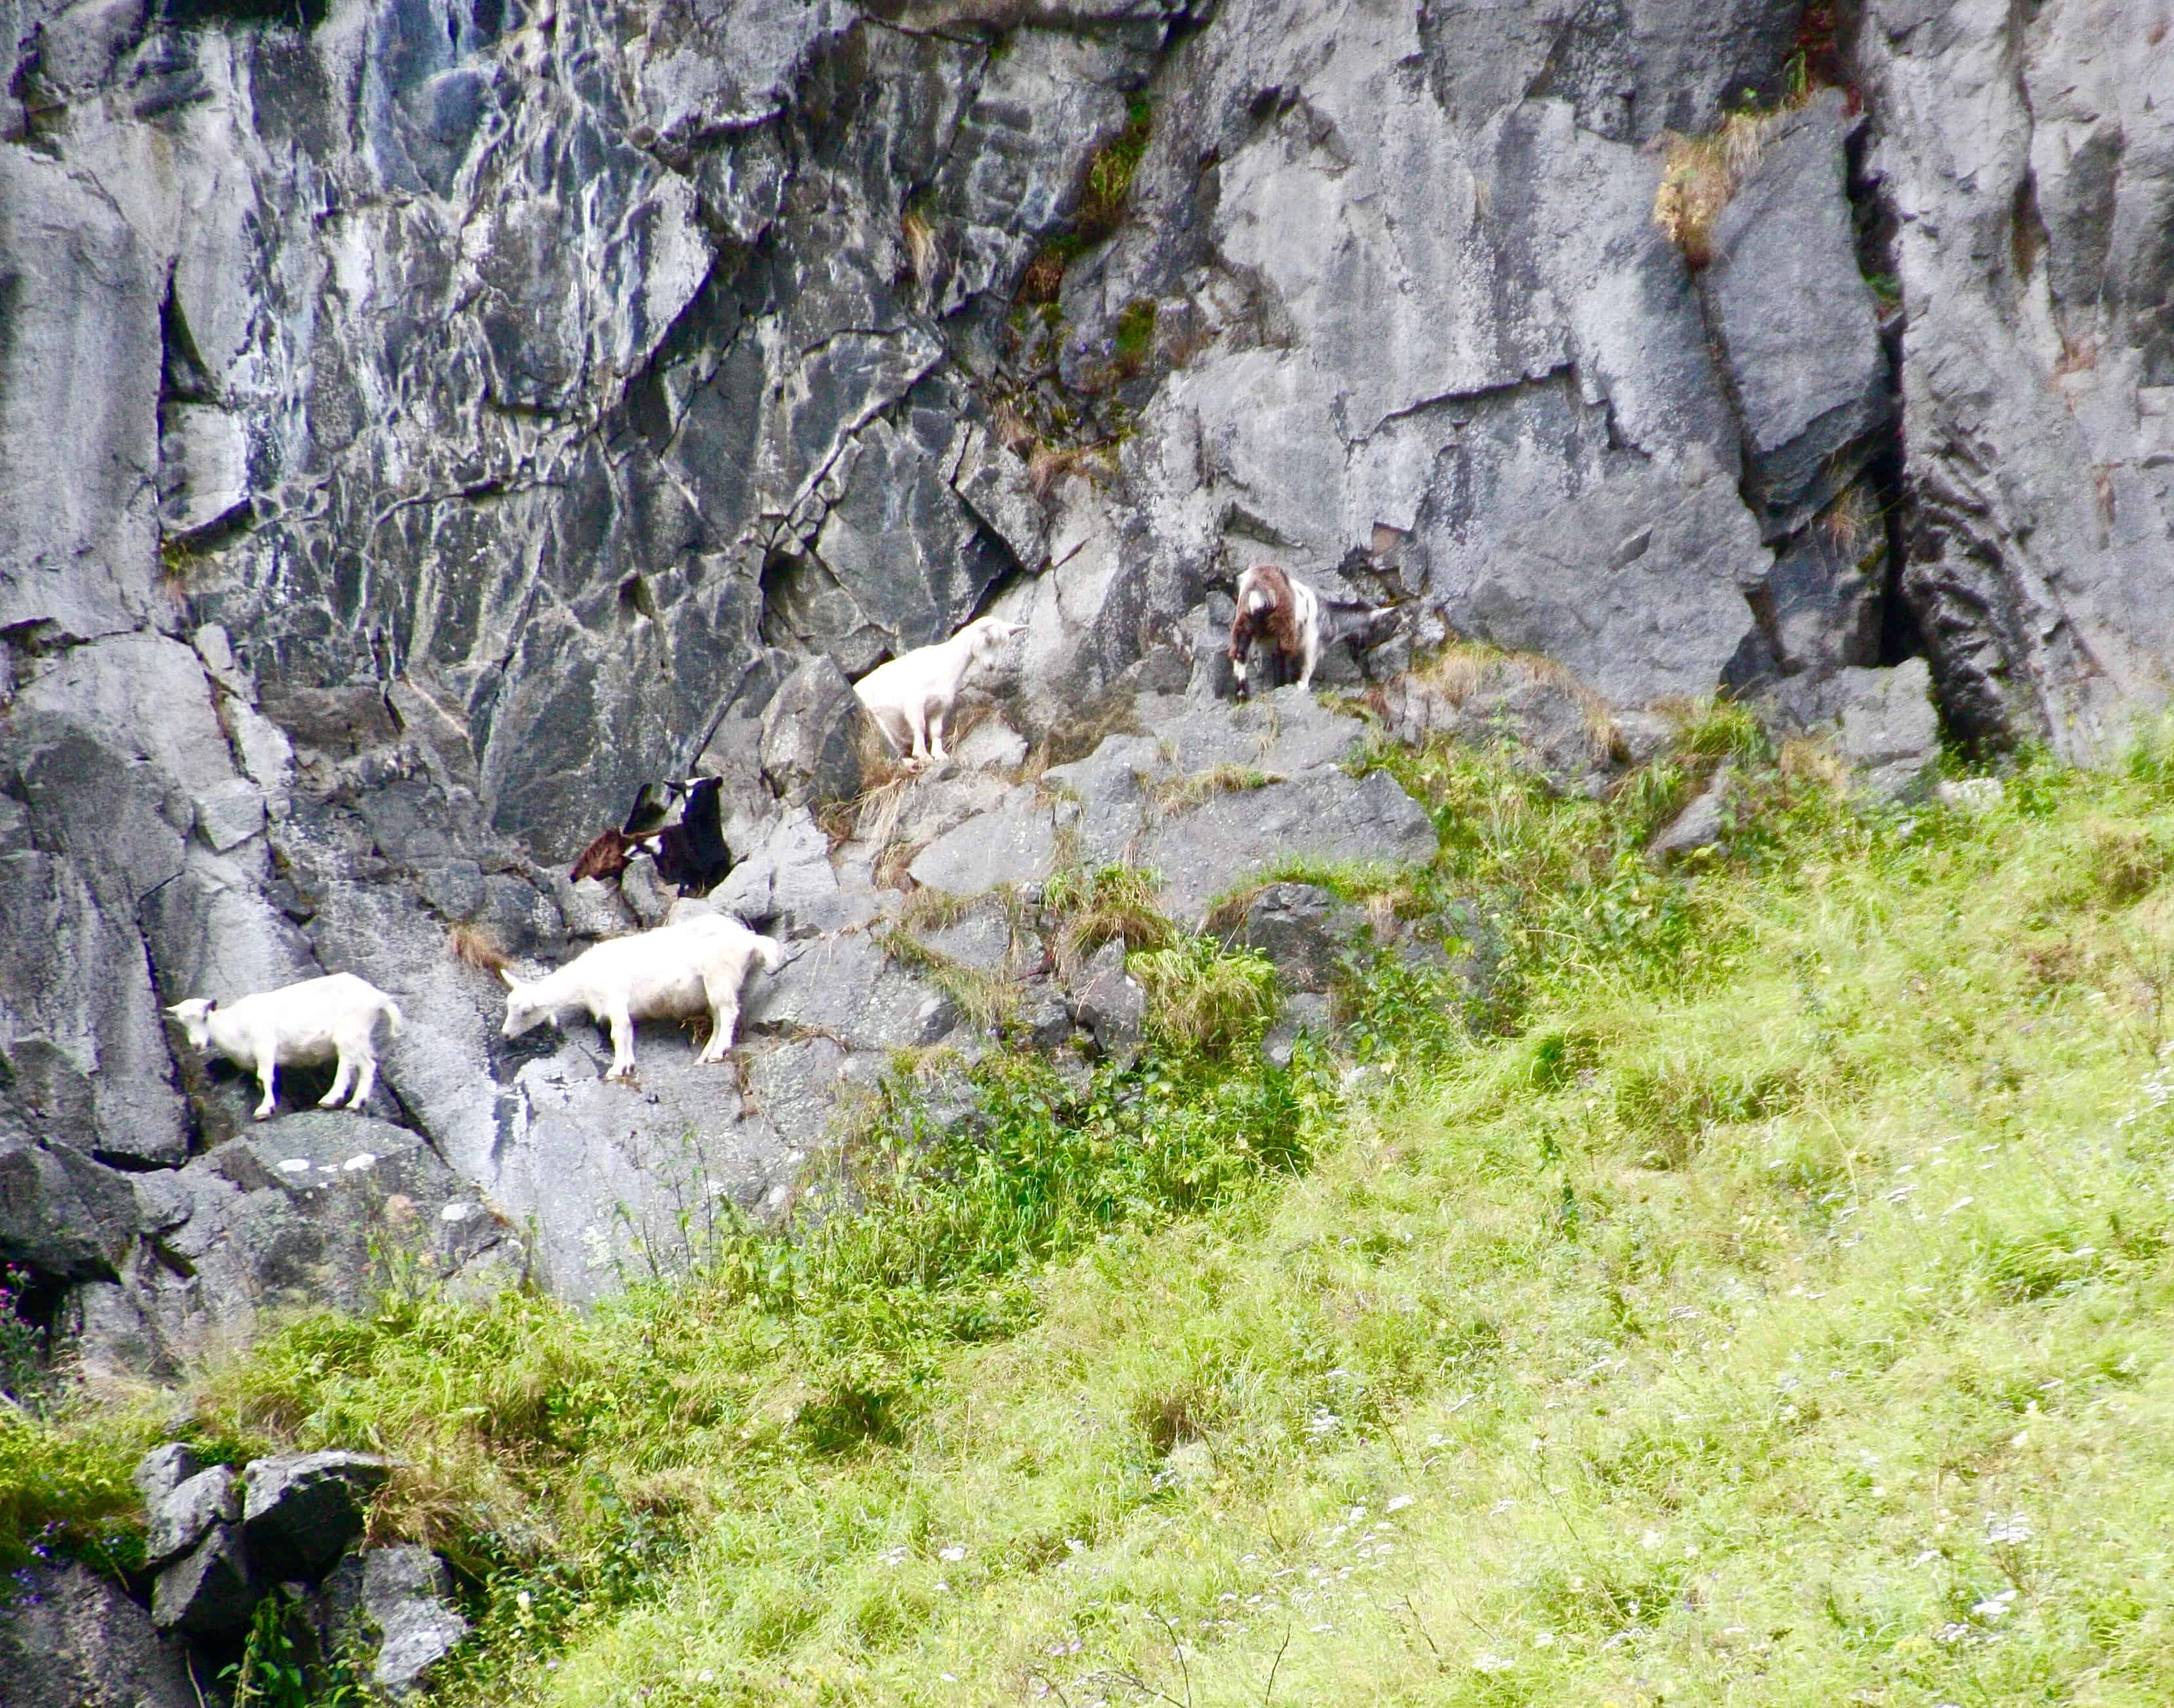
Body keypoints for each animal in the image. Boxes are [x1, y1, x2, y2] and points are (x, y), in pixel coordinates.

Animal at [165, 973, 409, 1121]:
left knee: (347, 1064)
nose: (197, 1044)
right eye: (182, 1022)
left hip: (349, 1031)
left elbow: (265, 1076)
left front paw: (265, 1110)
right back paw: (356, 1103)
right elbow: (259, 1081)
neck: (235, 1026)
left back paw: (331, 1099)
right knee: (368, 1065)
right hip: (360, 1036)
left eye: (205, 1016)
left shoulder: (264, 1044)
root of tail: (378, 998)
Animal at [498, 903, 783, 1078]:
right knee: (720, 1018)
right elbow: (626, 1033)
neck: (584, 979)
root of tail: (749, 939)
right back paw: (704, 1057)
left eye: (525, 1012)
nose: (505, 1035)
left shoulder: (615, 1001)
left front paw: (617, 1070)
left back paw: (718, 1053)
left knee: (730, 1012)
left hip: (720, 975)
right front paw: (627, 1066)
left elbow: (620, 1033)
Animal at [852, 617, 1022, 769]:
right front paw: (922, 756)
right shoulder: (915, 702)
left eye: (1004, 644)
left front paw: (939, 755)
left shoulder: (940, 706)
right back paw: (909, 762)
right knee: (891, 747)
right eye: (988, 639)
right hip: (879, 722)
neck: (945, 664)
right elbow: (920, 726)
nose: (991, 666)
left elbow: (936, 731)